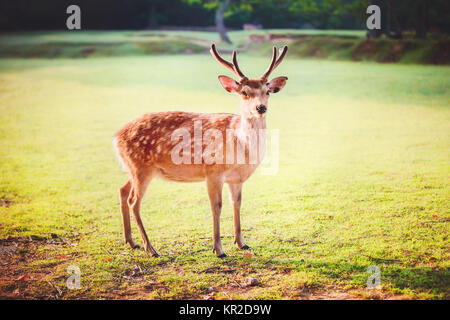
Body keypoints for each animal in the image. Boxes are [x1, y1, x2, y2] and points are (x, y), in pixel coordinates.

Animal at [113, 44, 288, 258]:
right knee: (134, 201)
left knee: (122, 191)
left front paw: (241, 243)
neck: (242, 149)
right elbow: (216, 207)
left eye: (268, 91)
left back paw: (131, 242)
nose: (260, 108)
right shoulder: (213, 171)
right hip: (140, 167)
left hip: (133, 167)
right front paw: (219, 249)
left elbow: (237, 203)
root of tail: (116, 137)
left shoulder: (236, 178)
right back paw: (150, 248)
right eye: (244, 92)